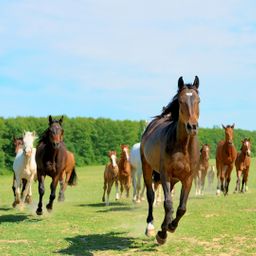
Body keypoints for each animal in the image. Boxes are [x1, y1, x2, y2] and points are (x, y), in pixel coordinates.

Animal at [141, 75, 201, 244]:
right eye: (180, 101)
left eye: (198, 100)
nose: (192, 127)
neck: (183, 147)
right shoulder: (165, 174)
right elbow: (168, 204)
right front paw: (162, 234)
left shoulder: (188, 178)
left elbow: (181, 207)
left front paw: (170, 227)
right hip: (147, 168)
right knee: (151, 196)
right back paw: (150, 227)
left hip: (173, 179)